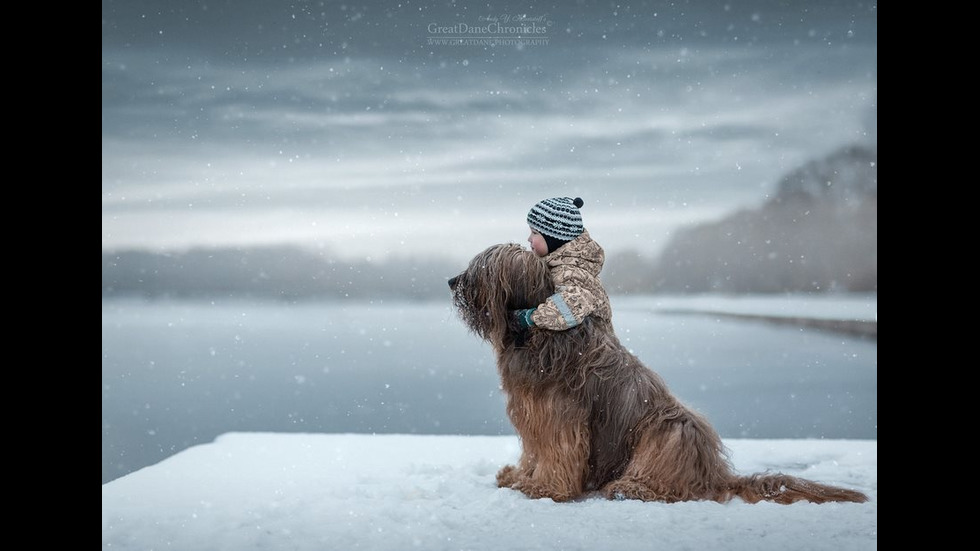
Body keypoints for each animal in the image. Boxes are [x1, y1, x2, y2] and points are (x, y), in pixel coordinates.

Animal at [448, 245, 868, 504]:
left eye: (481, 269)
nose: (452, 282)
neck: (535, 333)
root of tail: (716, 474)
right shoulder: (532, 413)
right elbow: (533, 452)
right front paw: (519, 477)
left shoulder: (559, 417)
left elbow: (557, 453)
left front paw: (544, 488)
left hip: (670, 429)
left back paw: (630, 486)